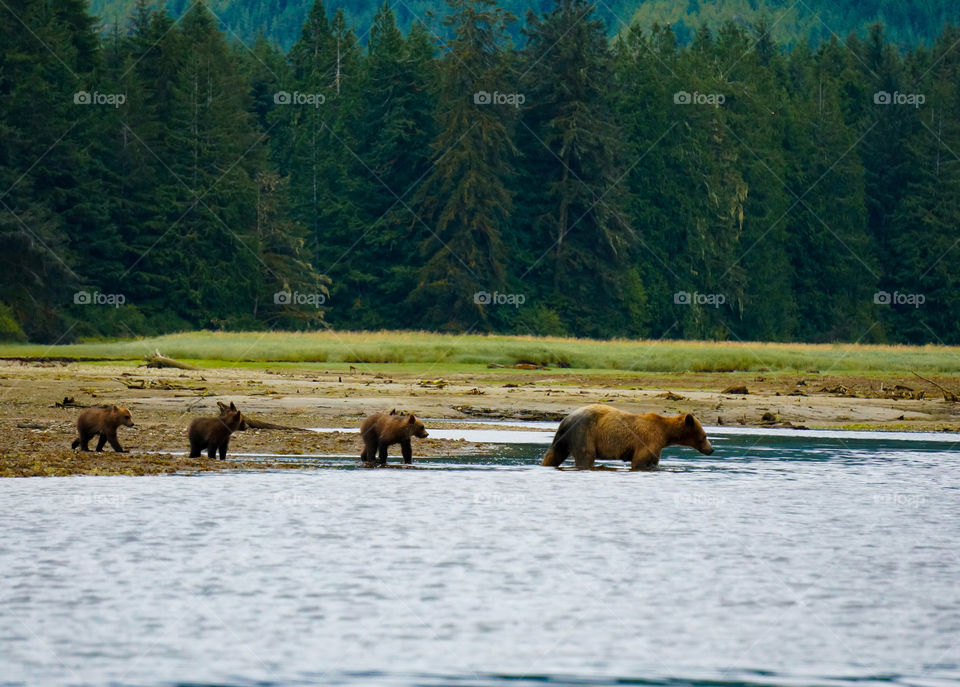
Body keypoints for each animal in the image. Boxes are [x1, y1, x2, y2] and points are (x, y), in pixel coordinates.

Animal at [541, 404, 714, 470]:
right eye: (705, 435)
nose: (711, 449)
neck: (665, 433)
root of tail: (565, 419)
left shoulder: (656, 445)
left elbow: (653, 461)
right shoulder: (649, 440)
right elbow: (640, 461)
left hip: (563, 437)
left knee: (553, 455)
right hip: (583, 433)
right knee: (586, 455)